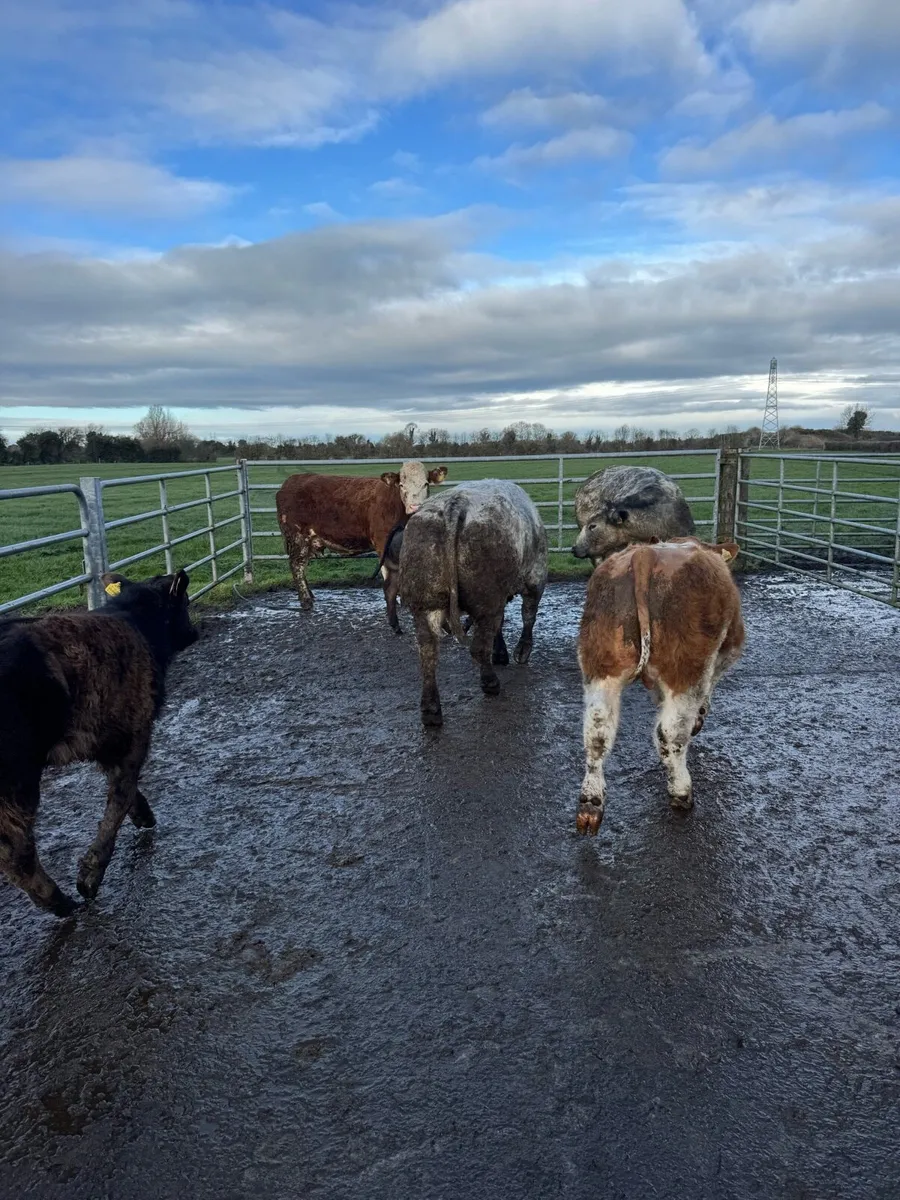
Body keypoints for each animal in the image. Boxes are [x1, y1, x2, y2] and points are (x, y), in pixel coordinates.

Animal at [0, 571, 198, 916]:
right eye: (184, 601)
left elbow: (125, 788)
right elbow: (121, 792)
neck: (135, 622)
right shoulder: (134, 732)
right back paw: (60, 902)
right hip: (17, 779)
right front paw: (90, 876)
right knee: (16, 852)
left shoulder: (105, 740)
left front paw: (143, 815)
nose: (194, 632)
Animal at [276, 461, 448, 616]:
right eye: (401, 485)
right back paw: (306, 601)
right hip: (298, 537)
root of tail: (291, 481)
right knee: (297, 565)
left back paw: (311, 595)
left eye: (425, 484)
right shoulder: (382, 541)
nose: (415, 506)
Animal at [399, 480, 548, 727]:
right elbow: (528, 615)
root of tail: (455, 503)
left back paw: (431, 710)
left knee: (428, 652)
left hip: (424, 605)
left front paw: (501, 652)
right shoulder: (534, 578)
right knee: (478, 647)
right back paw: (490, 683)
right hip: (489, 597)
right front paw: (520, 650)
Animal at [575, 537, 744, 835]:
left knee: (596, 731)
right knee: (669, 731)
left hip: (600, 667)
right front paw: (699, 717)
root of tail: (645, 553)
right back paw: (681, 792)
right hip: (686, 669)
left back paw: (591, 803)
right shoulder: (726, 652)